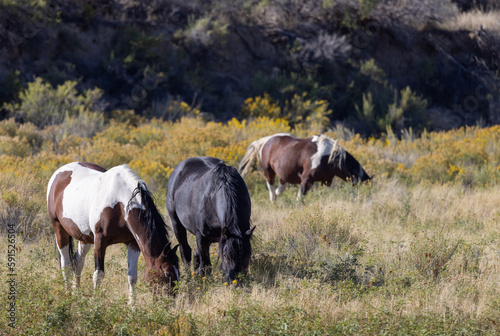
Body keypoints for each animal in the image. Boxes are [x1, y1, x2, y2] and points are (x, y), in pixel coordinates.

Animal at [47, 161, 180, 306]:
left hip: (84, 237)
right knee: (66, 264)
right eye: (167, 273)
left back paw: (76, 293)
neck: (120, 205)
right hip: (59, 229)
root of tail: (59, 172)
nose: (171, 304)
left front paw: (132, 307)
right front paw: (96, 304)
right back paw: (68, 296)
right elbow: (98, 275)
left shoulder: (133, 244)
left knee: (78, 261)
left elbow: (132, 277)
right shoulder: (100, 241)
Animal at [238, 134, 372, 202]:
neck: (327, 157)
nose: (365, 199)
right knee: (272, 192)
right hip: (269, 172)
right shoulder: (306, 180)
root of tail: (266, 140)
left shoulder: (326, 181)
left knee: (279, 189)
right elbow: (300, 198)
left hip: (284, 175)